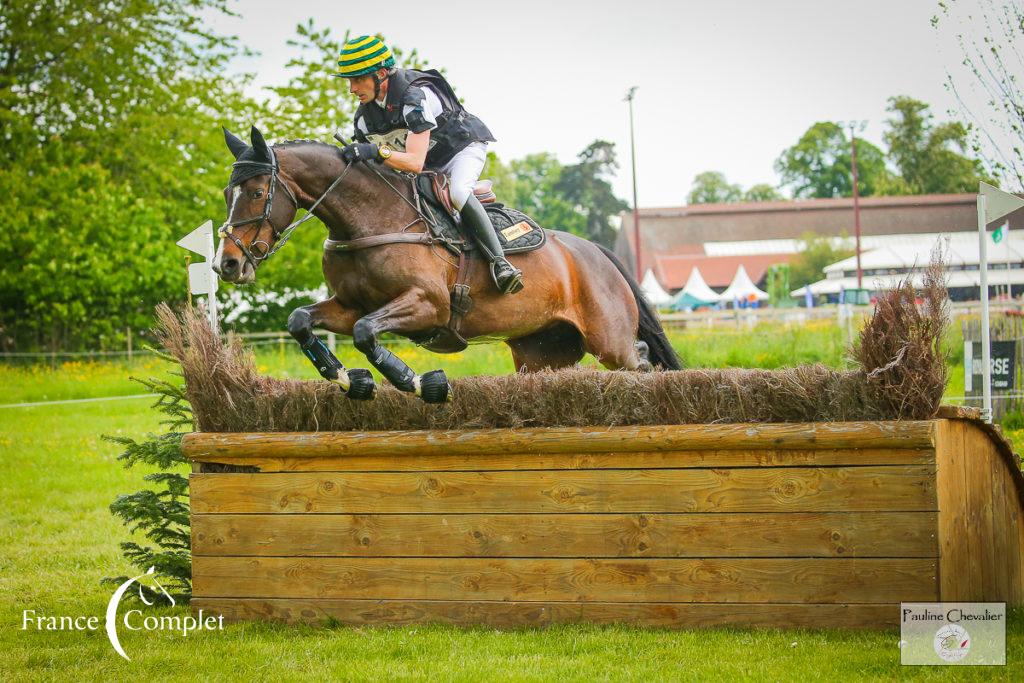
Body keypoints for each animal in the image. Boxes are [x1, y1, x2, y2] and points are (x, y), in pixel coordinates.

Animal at [216, 126, 679, 403]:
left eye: (257, 192)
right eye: (227, 193)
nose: (228, 264)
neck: (369, 217)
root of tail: (597, 251)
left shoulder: (427, 304)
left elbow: (366, 334)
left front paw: (422, 384)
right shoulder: (348, 305)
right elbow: (301, 321)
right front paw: (352, 380)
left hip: (610, 341)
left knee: (640, 359)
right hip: (543, 351)